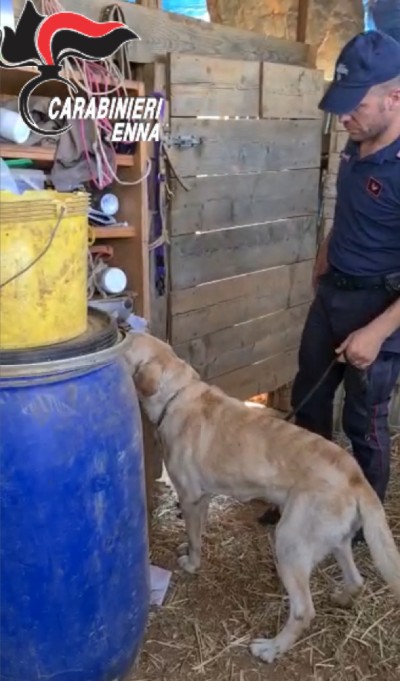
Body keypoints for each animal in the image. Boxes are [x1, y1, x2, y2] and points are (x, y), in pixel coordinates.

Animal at [124, 332, 400, 660]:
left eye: (124, 344)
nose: (122, 327)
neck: (177, 394)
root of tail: (356, 476)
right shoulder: (203, 498)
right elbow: (198, 532)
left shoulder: (189, 496)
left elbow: (193, 538)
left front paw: (191, 564)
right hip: (336, 541)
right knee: (356, 581)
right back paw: (343, 599)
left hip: (290, 542)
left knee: (304, 611)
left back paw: (271, 648)